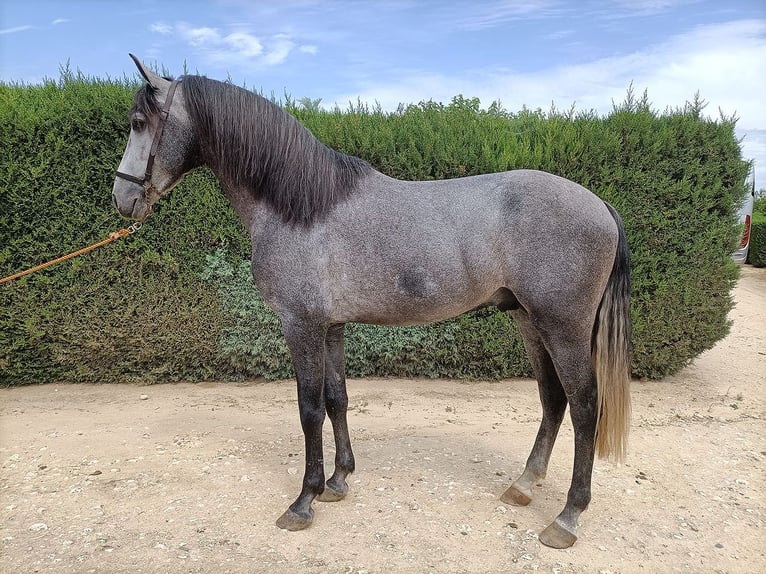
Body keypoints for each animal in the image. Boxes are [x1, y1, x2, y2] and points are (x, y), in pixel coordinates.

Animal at [112, 56, 632, 552]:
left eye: (138, 121)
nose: (122, 198)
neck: (303, 205)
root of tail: (601, 206)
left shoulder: (301, 325)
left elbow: (309, 409)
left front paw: (304, 500)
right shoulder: (332, 325)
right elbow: (337, 399)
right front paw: (339, 481)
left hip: (562, 326)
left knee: (585, 405)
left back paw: (567, 517)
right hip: (528, 320)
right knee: (553, 397)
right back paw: (524, 484)